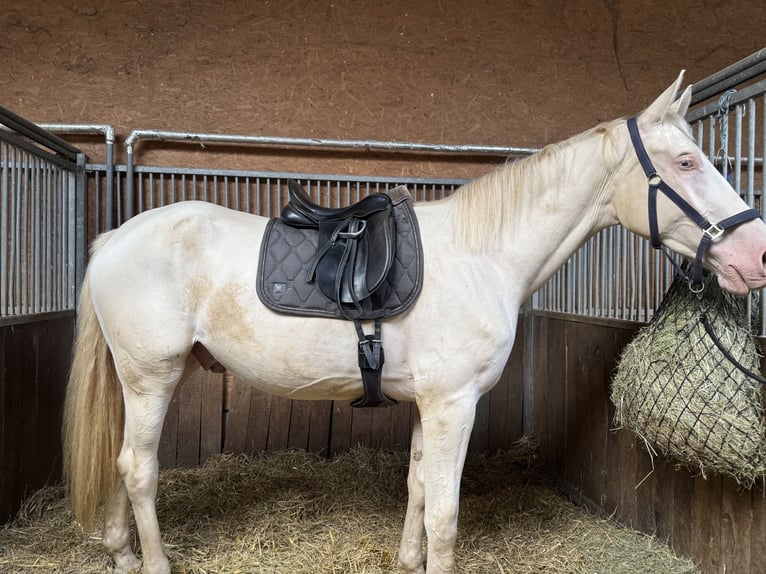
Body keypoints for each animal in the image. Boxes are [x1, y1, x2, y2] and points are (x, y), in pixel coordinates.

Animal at [63, 72, 766, 574]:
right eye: (686, 163)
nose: (755, 256)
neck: (483, 255)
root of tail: (117, 237)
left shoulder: (433, 405)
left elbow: (420, 490)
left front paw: (406, 560)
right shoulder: (455, 404)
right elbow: (446, 517)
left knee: (124, 463)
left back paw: (120, 552)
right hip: (152, 376)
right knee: (137, 466)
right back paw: (153, 563)